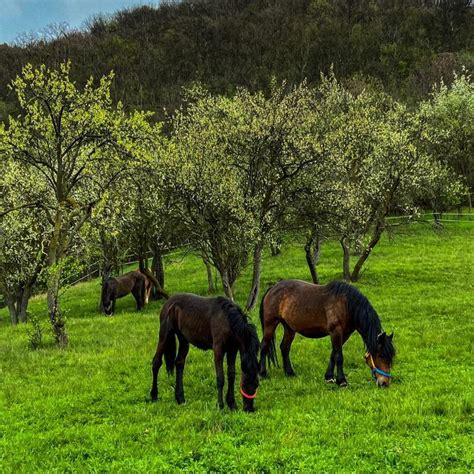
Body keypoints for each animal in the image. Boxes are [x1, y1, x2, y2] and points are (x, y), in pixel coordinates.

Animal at [260, 280, 396, 386]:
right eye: (381, 356)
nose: (385, 383)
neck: (347, 304)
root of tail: (272, 288)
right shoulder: (336, 331)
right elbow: (339, 356)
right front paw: (341, 381)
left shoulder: (344, 334)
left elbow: (333, 354)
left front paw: (329, 377)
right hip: (270, 325)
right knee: (264, 346)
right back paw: (263, 374)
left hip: (289, 328)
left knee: (284, 347)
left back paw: (290, 373)